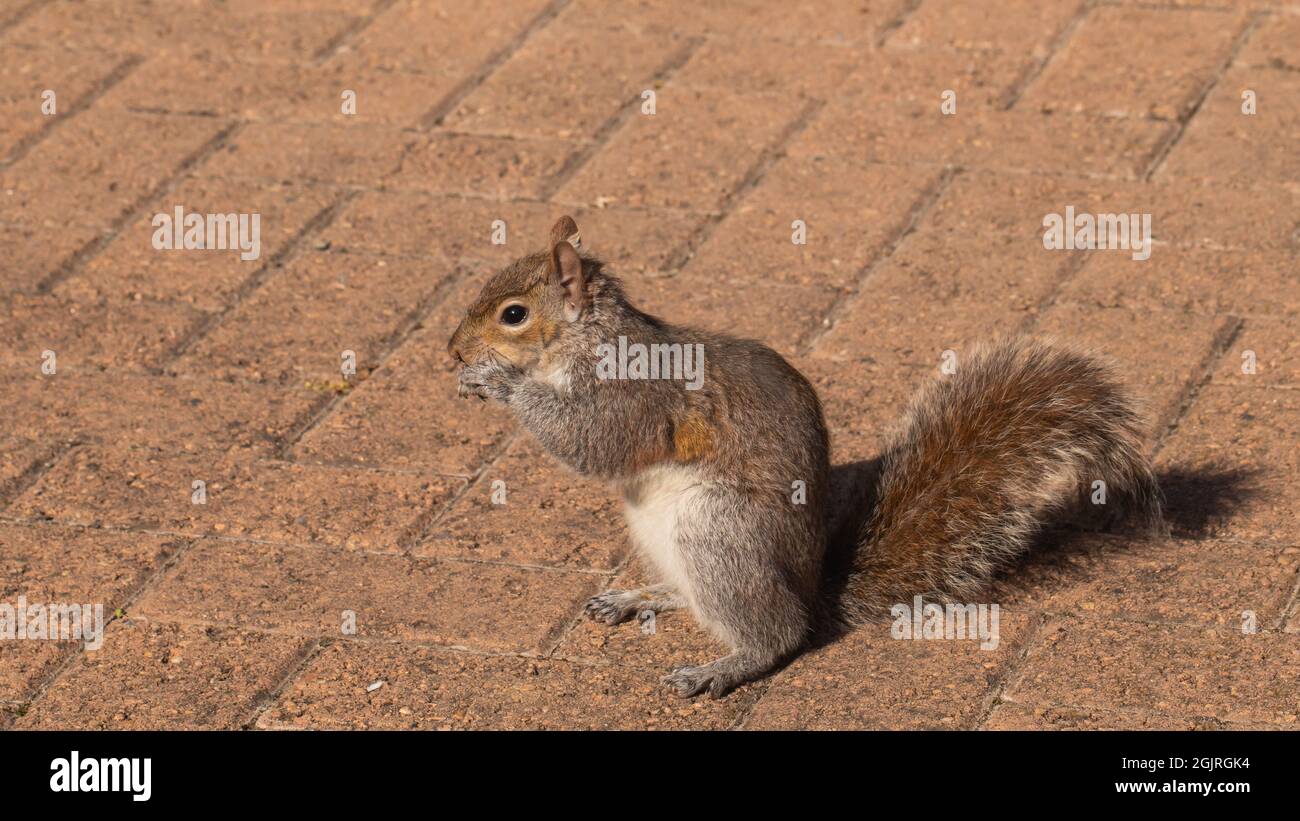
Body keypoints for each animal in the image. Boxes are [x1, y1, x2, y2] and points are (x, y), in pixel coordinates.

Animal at [447, 215, 1164, 698]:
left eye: (514, 314)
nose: (452, 351)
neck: (588, 341)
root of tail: (813, 589)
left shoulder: (635, 396)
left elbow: (595, 442)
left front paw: (500, 383)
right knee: (697, 597)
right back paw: (639, 597)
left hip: (718, 530)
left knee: (778, 633)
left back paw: (723, 668)